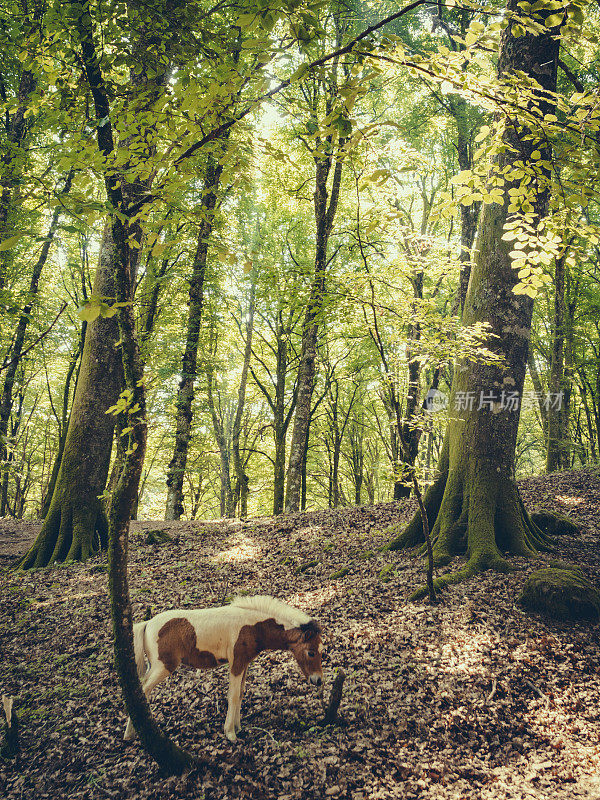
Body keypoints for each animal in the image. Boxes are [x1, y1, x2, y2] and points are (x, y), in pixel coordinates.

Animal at [123, 592, 324, 744]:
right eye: (311, 652)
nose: (318, 680)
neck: (253, 627)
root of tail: (147, 624)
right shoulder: (236, 663)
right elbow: (233, 695)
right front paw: (230, 733)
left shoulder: (244, 663)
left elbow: (240, 694)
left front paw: (238, 727)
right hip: (163, 666)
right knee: (142, 690)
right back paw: (130, 734)